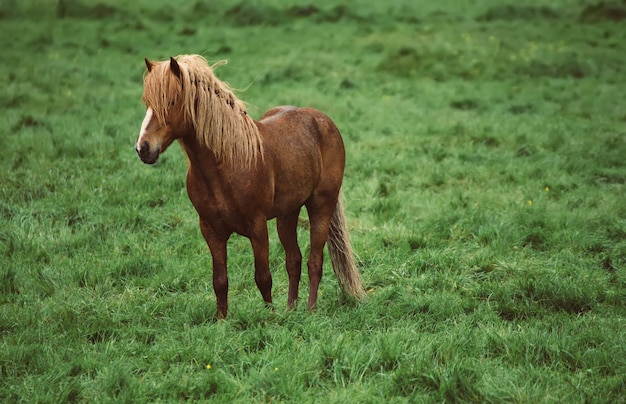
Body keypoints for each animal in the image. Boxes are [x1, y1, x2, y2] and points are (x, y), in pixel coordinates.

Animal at [134, 54, 364, 318]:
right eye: (147, 103)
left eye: (170, 101)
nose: (143, 149)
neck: (225, 163)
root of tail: (323, 120)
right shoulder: (210, 230)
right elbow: (220, 281)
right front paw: (222, 321)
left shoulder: (257, 226)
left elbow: (263, 277)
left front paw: (269, 318)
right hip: (287, 213)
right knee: (293, 260)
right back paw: (291, 310)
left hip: (321, 205)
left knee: (314, 260)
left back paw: (310, 311)